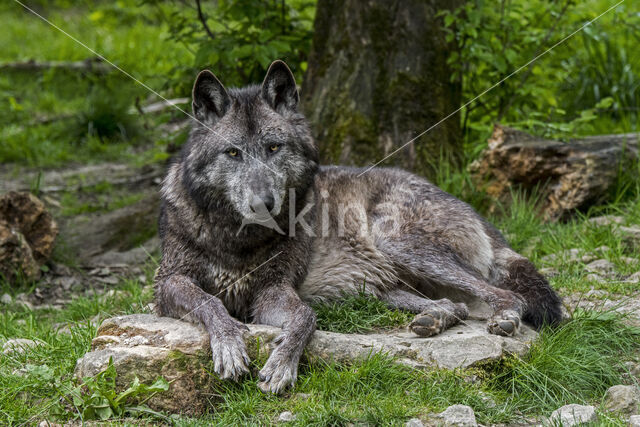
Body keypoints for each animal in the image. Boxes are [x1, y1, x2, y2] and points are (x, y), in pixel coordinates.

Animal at [154, 59, 560, 394]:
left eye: (273, 148)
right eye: (233, 153)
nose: (263, 204)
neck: (237, 239)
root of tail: (476, 214)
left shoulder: (272, 290)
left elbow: (306, 316)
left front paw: (282, 365)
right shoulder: (168, 284)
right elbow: (210, 302)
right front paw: (229, 345)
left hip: (397, 244)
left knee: (507, 295)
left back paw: (503, 318)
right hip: (377, 289)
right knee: (453, 304)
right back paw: (433, 319)